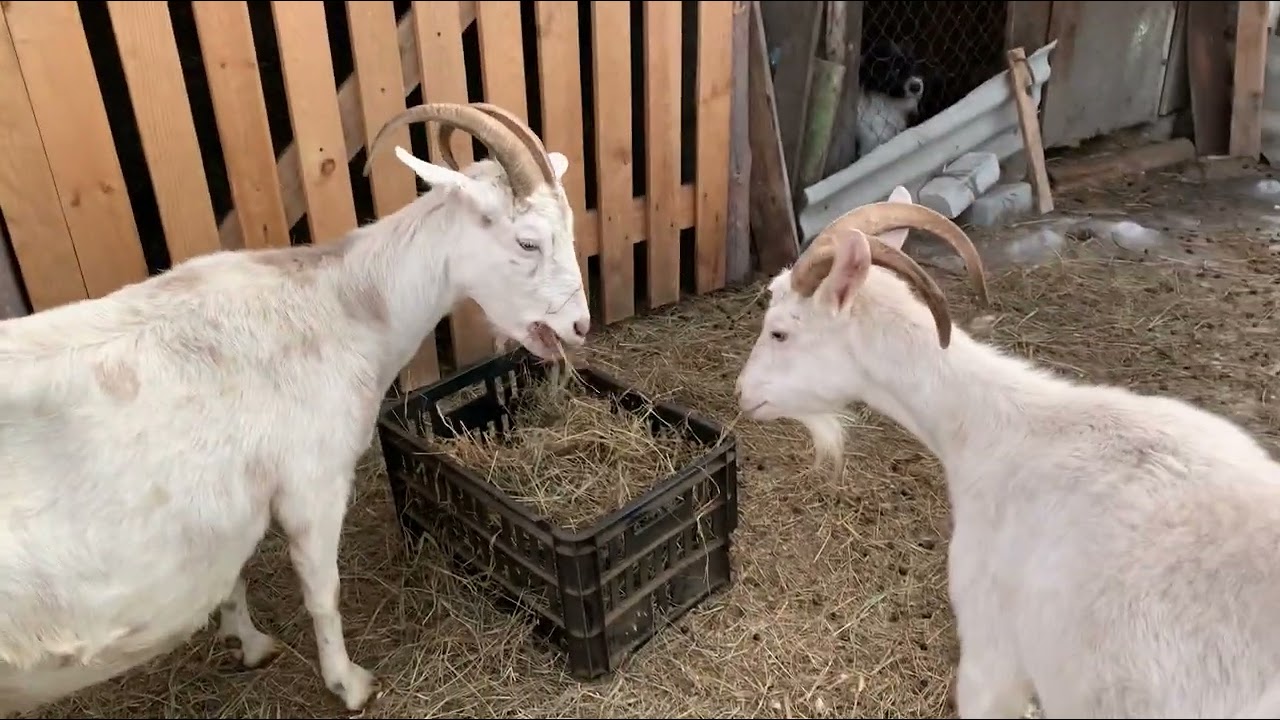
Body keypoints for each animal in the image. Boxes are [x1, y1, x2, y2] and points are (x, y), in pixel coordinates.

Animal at [0, 101, 590, 716]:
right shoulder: (314, 481)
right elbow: (322, 589)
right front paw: (350, 684)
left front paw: (251, 644)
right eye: (528, 242)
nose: (579, 325)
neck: (340, 306)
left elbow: (234, 576)